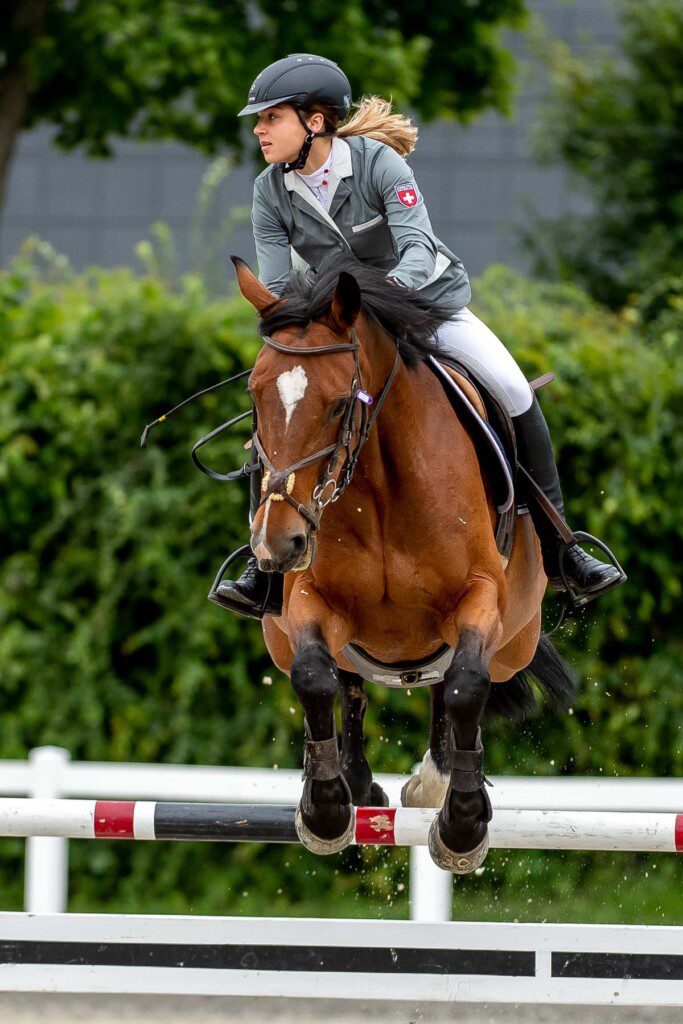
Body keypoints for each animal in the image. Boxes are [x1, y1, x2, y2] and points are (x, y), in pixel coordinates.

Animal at [232, 251, 573, 868]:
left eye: (340, 404)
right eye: (254, 398)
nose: (278, 544)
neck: (380, 485)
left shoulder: (480, 595)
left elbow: (465, 684)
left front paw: (462, 824)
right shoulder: (309, 600)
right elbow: (315, 675)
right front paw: (325, 809)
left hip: (516, 640)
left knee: (456, 680)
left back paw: (436, 781)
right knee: (348, 681)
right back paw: (357, 783)